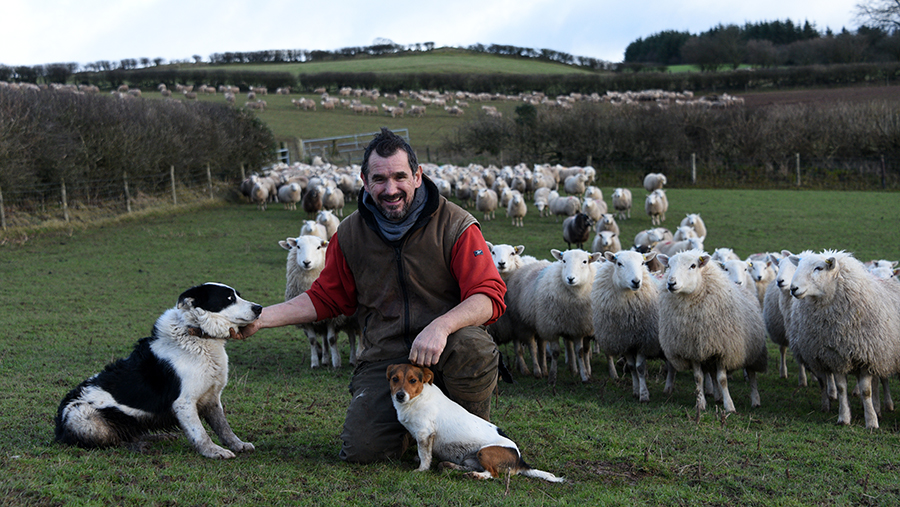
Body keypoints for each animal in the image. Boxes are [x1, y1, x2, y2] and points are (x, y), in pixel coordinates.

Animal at [278, 234, 358, 370]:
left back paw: (357, 356)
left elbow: (331, 339)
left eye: (319, 247)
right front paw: (315, 362)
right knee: (350, 337)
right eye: (298, 246)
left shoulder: (333, 317)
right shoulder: (308, 320)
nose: (306, 262)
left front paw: (336, 362)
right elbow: (313, 340)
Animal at [502, 248, 600, 382]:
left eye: (585, 261)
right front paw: (553, 377)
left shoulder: (577, 327)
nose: (570, 278)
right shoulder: (551, 327)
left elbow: (579, 352)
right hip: (522, 323)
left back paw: (547, 369)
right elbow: (555, 352)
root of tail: (531, 263)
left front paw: (584, 376)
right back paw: (537, 371)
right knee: (532, 347)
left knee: (542, 348)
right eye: (564, 260)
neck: (574, 296)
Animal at [592, 249, 676, 400]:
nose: (636, 282)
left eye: (642, 263)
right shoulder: (625, 341)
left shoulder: (643, 340)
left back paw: (668, 388)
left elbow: (640, 368)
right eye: (619, 264)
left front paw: (644, 395)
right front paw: (636, 390)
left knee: (671, 364)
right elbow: (632, 367)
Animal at [652, 249, 768, 412]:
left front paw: (729, 406)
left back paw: (755, 400)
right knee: (712, 375)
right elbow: (699, 377)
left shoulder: (723, 350)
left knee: (751, 375)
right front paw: (700, 404)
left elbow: (723, 379)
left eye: (693, 266)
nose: (671, 283)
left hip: (752, 350)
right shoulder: (692, 350)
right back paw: (717, 396)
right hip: (708, 354)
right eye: (668, 265)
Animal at [788, 250, 900, 428]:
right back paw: (877, 408)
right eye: (798, 265)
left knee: (881, 380)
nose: (793, 288)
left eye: (819, 268)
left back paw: (884, 406)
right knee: (876, 382)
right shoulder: (836, 357)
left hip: (884, 352)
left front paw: (871, 421)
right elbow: (841, 388)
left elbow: (865, 391)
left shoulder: (867, 356)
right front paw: (844, 417)